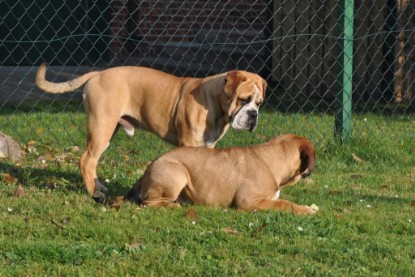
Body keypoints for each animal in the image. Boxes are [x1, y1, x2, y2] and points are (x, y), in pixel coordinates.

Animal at [36, 63, 270, 199]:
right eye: (244, 100)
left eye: (259, 103)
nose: (253, 115)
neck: (214, 102)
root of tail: (99, 73)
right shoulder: (188, 144)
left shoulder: (208, 147)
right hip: (101, 127)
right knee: (86, 160)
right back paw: (94, 193)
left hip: (108, 129)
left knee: (92, 161)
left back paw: (98, 186)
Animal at [127, 133, 318, 213]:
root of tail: (148, 170)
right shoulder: (249, 201)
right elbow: (285, 203)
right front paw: (305, 209)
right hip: (177, 173)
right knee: (147, 203)